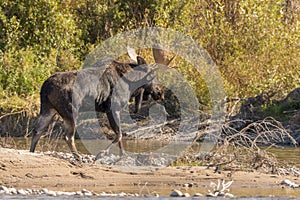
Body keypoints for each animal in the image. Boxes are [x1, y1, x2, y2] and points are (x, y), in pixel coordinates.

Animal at [29, 52, 163, 159]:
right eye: (152, 76)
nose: (160, 93)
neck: (132, 85)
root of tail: (45, 87)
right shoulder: (112, 108)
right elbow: (119, 134)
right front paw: (101, 153)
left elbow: (119, 135)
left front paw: (122, 155)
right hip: (71, 111)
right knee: (68, 136)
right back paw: (78, 156)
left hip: (48, 109)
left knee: (37, 131)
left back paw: (32, 152)